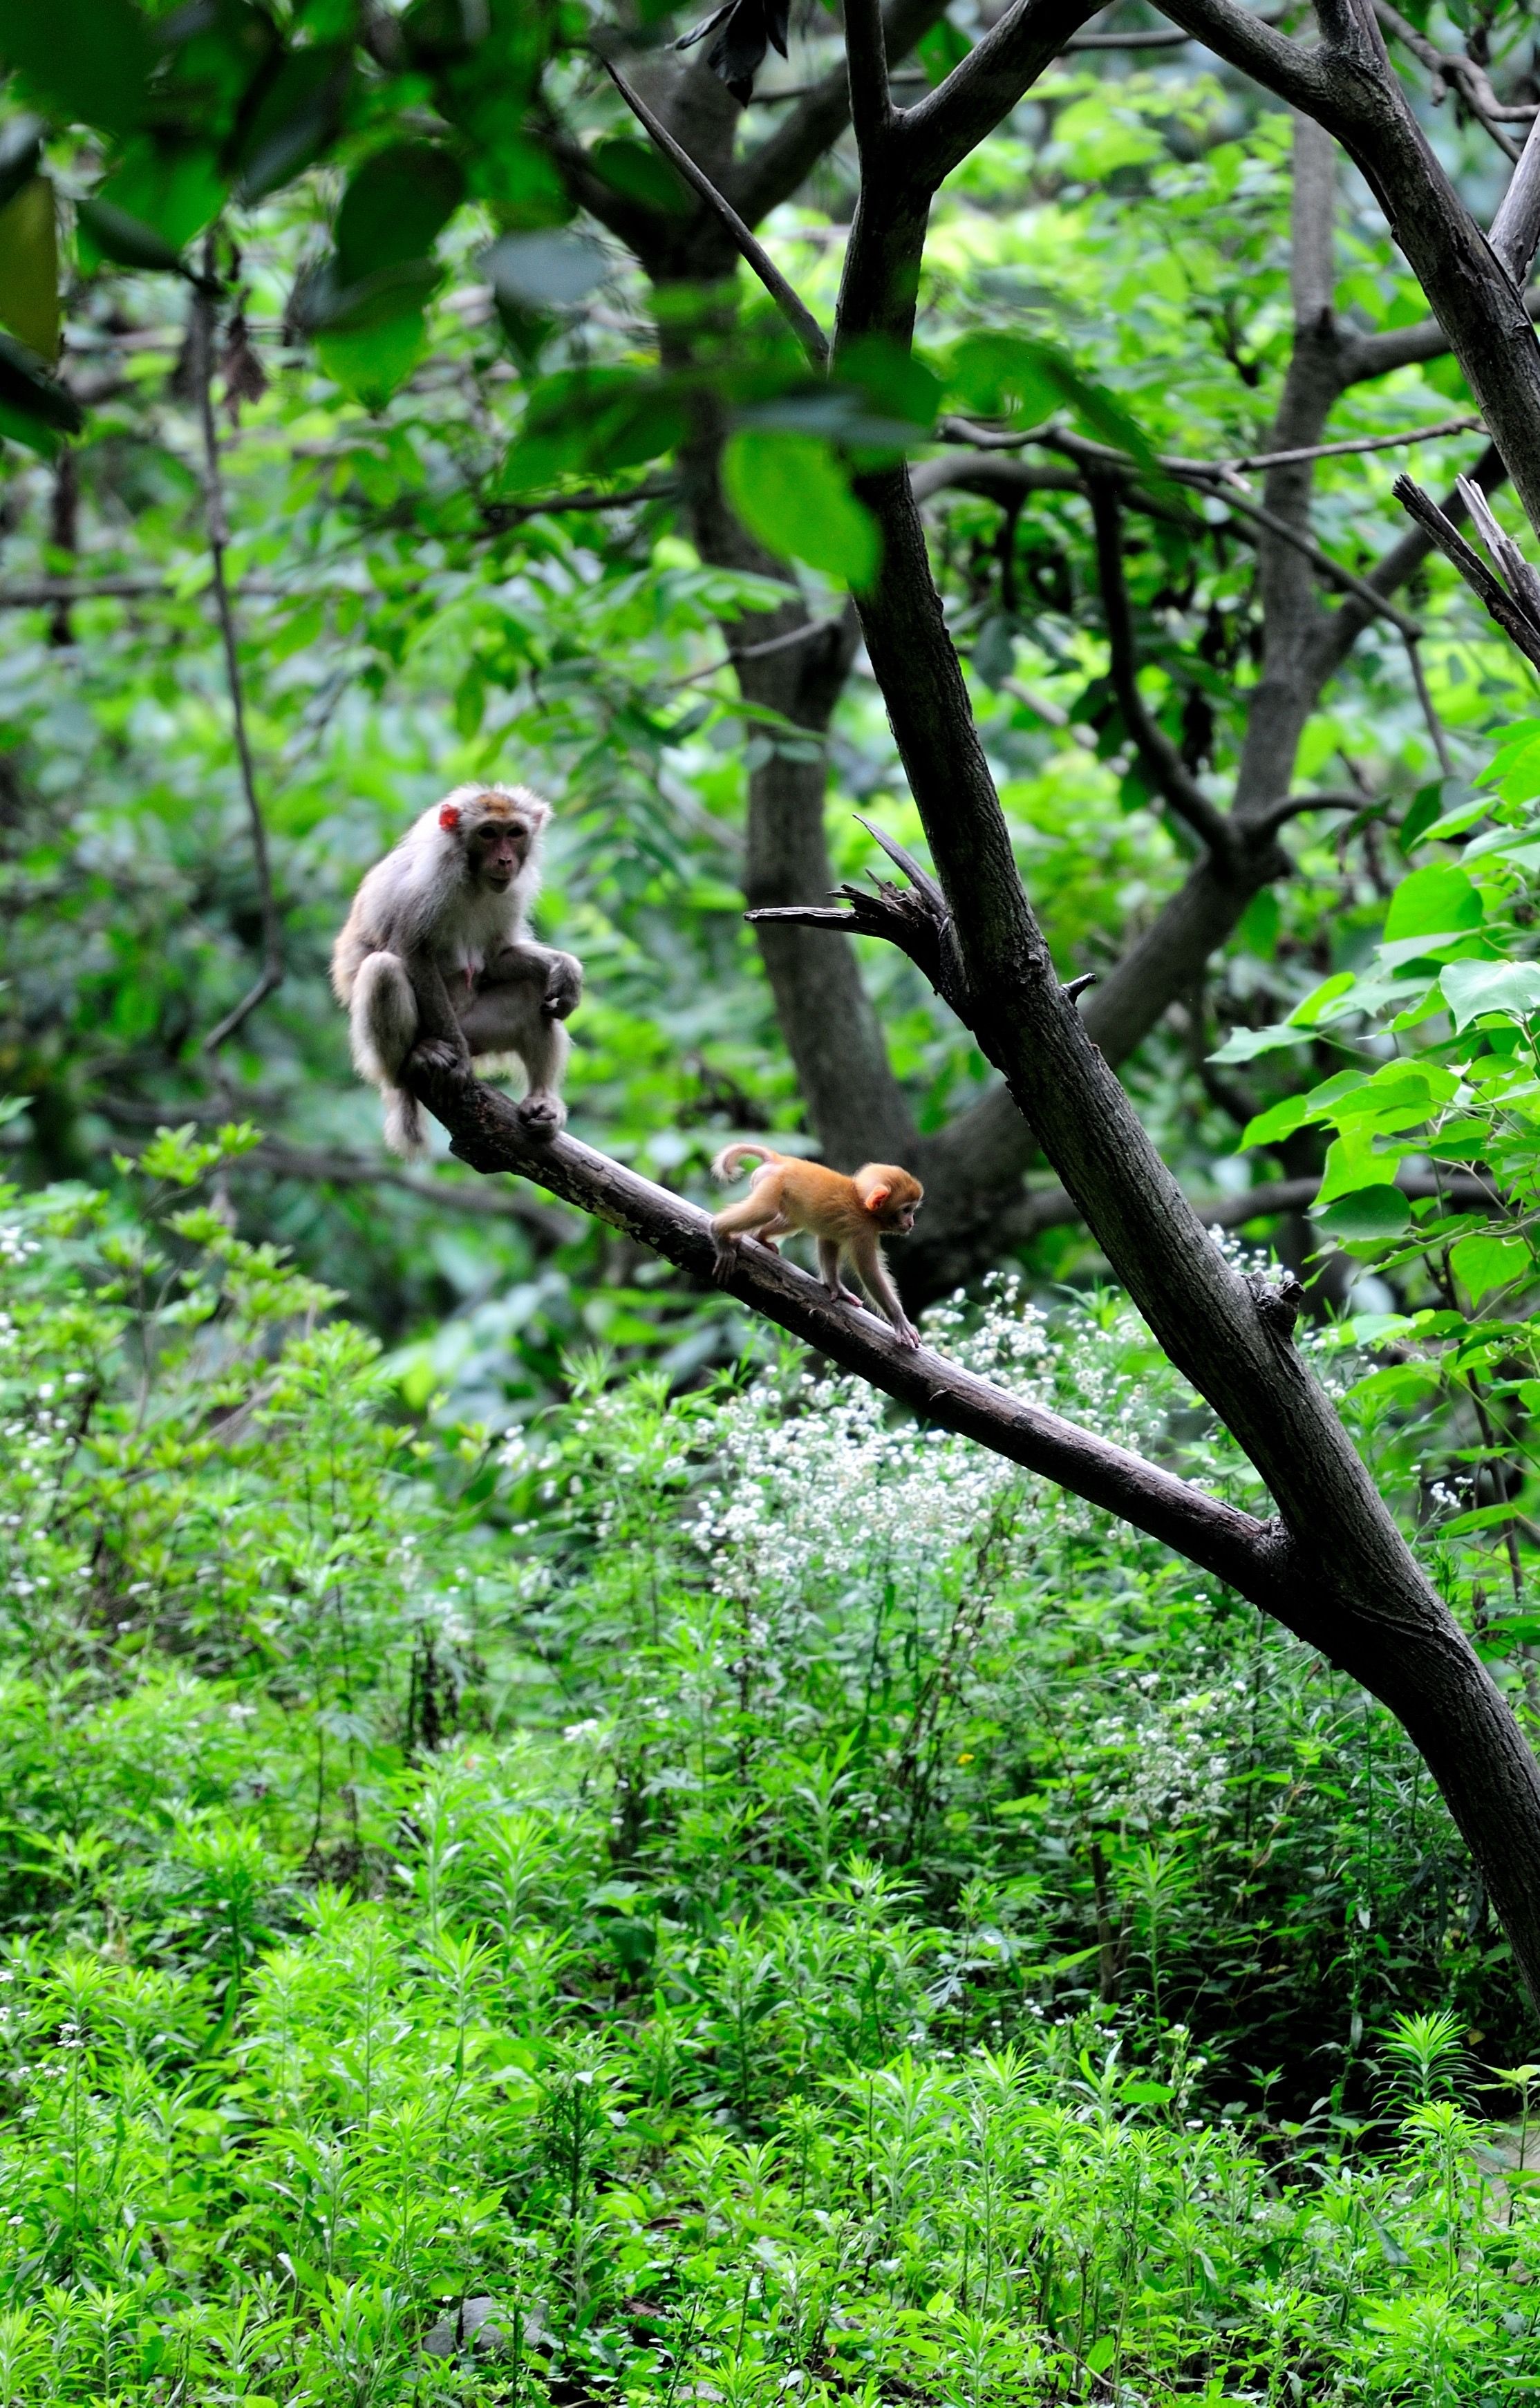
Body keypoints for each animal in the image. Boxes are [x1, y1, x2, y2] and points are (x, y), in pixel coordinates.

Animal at [335, 780, 581, 1156]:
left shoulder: (511, 893)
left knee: (531, 994)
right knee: (383, 970)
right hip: (420, 1037)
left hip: (476, 1028)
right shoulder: (430, 883)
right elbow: (412, 952)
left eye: (515, 832)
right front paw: (462, 1062)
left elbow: (497, 958)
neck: (474, 880)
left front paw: (565, 967)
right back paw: (413, 1059)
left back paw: (543, 1102)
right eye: (488, 833)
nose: (505, 860)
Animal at [713, 1136, 925, 1348]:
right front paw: (899, 1321)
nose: (911, 1223)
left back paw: (758, 1236)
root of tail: (780, 1160)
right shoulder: (863, 1231)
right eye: (906, 1210)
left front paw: (835, 1287)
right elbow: (869, 1273)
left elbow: (828, 1240)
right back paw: (718, 1230)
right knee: (765, 1211)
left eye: (912, 1210)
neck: (862, 1205)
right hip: (771, 1183)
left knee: (788, 1220)